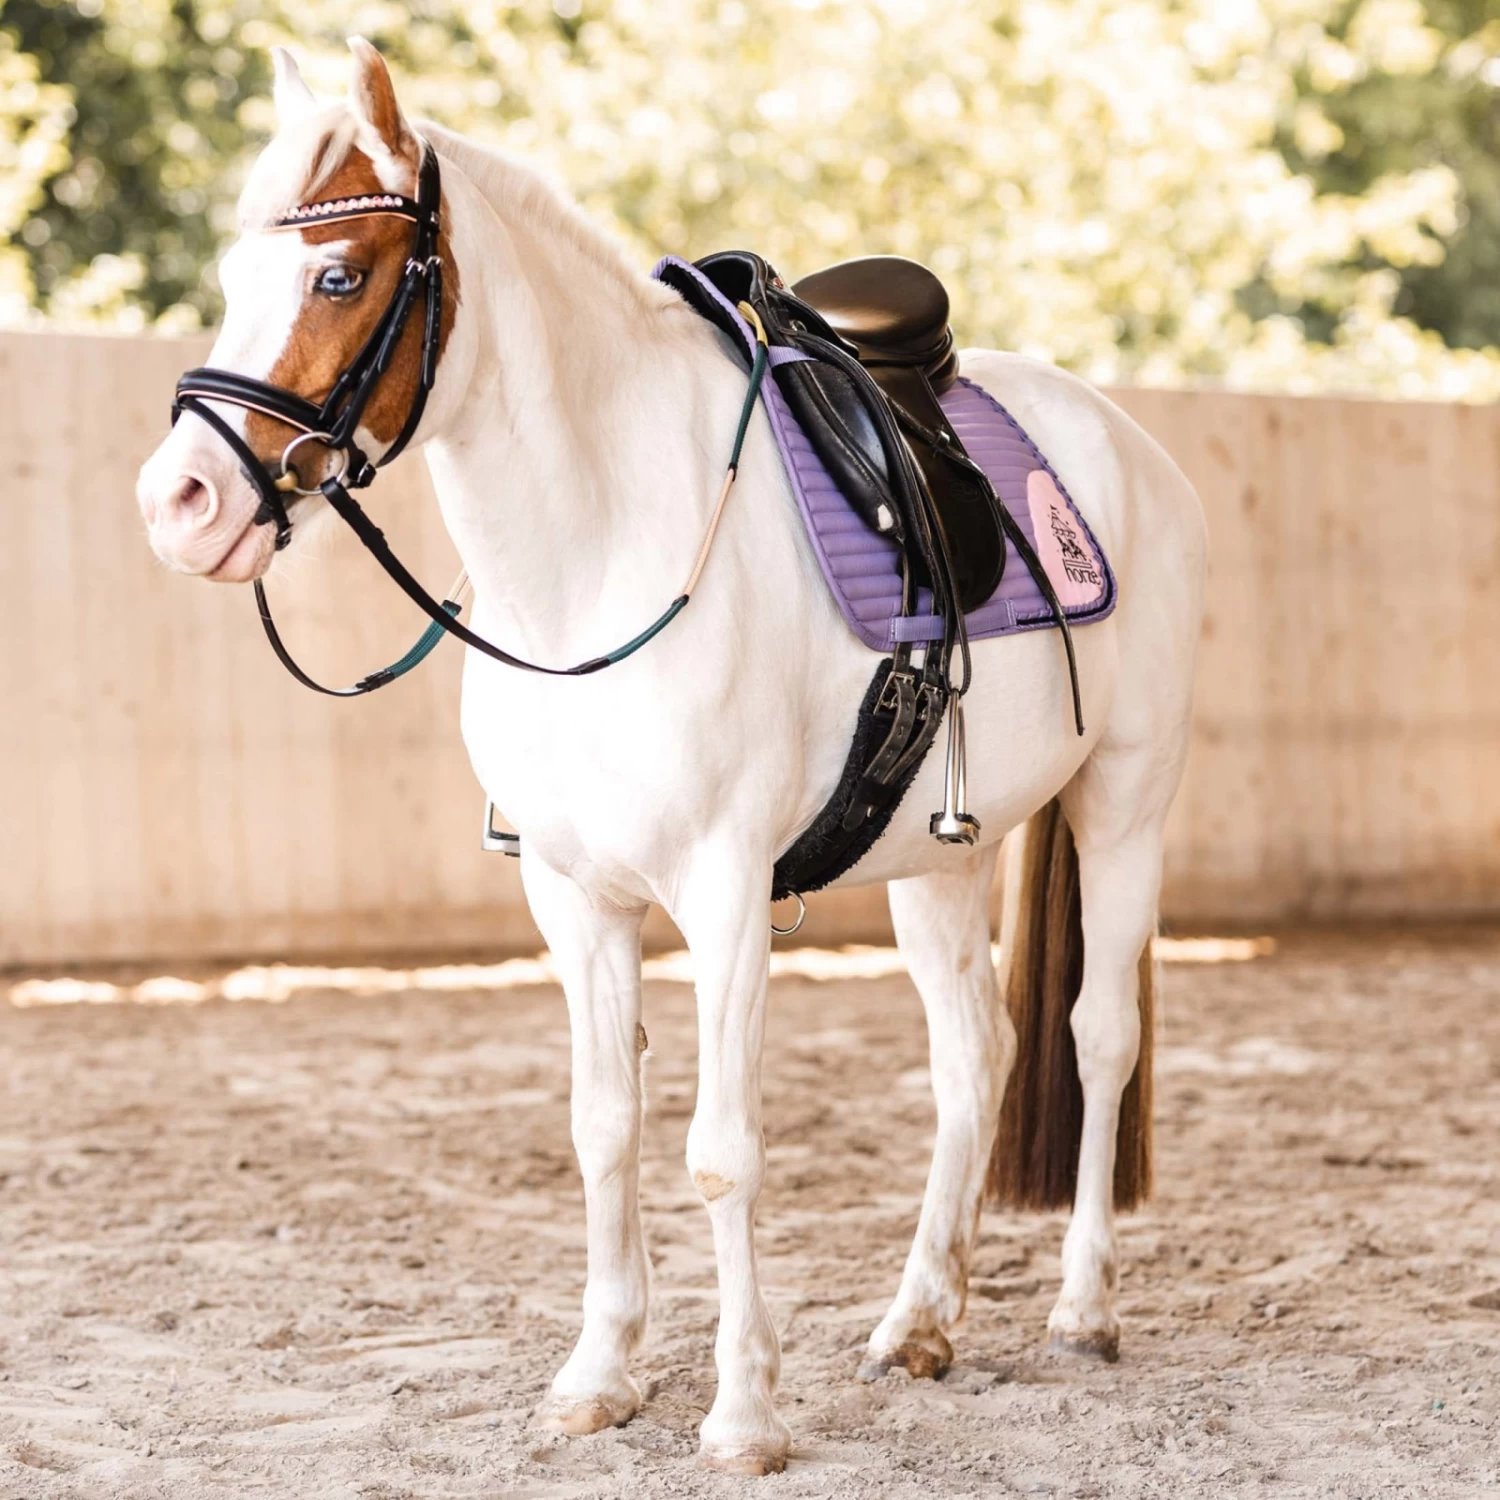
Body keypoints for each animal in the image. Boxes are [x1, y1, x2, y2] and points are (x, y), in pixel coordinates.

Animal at [136, 40, 1206, 1476]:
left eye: (339, 276)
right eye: (229, 279)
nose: (179, 504)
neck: (598, 556)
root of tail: (1127, 445)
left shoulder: (724, 896)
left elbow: (721, 1150)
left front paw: (743, 1412)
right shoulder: (574, 898)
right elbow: (602, 1129)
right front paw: (599, 1377)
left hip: (1125, 803)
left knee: (1098, 1036)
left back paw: (1086, 1307)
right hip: (940, 862)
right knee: (974, 1055)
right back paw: (919, 1323)